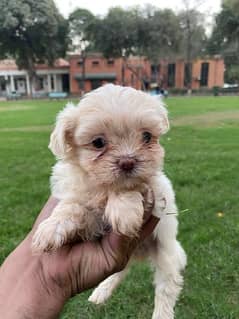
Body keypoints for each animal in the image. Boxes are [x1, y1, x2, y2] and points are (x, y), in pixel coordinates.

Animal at [32, 84, 187, 318]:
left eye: (147, 136)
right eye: (98, 143)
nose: (128, 162)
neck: (102, 187)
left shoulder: (155, 189)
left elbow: (128, 188)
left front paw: (124, 211)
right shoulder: (86, 213)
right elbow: (71, 206)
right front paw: (51, 228)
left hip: (165, 251)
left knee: (167, 285)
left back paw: (161, 313)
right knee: (119, 271)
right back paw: (100, 292)